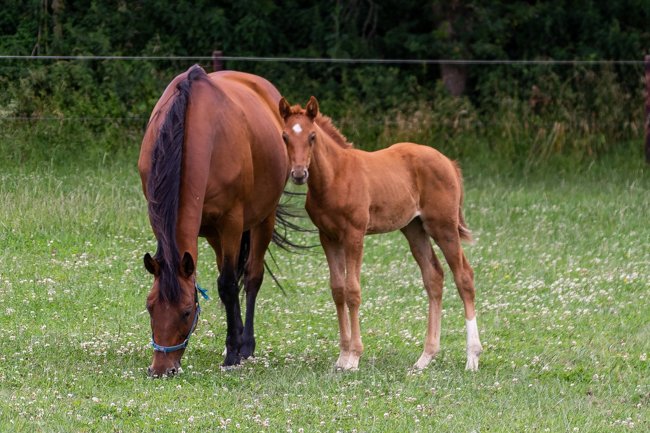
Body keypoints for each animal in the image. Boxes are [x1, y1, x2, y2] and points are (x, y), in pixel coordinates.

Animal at [139, 63, 288, 374]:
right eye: (149, 306)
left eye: (187, 311)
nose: (161, 368)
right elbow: (224, 283)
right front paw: (232, 344)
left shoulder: (231, 222)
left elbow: (229, 284)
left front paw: (233, 352)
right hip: (211, 232)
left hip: (262, 220)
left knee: (251, 277)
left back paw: (246, 344)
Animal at [278, 98, 480, 372]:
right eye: (285, 136)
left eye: (311, 136)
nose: (299, 174)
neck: (335, 176)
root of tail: (448, 161)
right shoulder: (328, 237)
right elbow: (337, 290)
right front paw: (342, 357)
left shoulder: (354, 235)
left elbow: (353, 291)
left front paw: (353, 358)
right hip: (414, 228)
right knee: (434, 277)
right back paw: (425, 358)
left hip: (443, 227)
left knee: (464, 277)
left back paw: (472, 357)